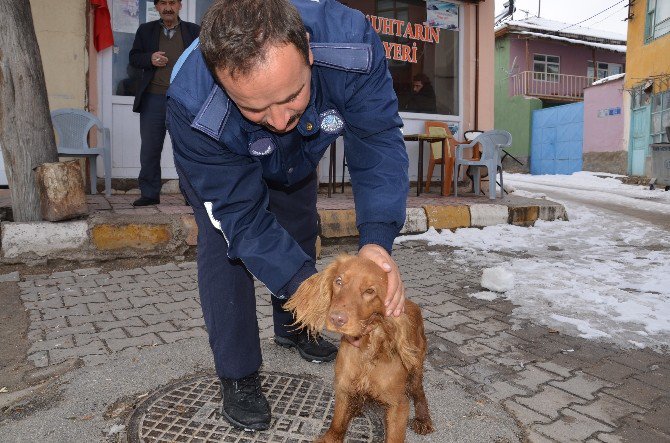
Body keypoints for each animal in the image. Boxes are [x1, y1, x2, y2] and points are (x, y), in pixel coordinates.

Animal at [284, 255, 436, 442]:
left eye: (370, 291)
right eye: (338, 281)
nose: (337, 319)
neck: (367, 348)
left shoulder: (398, 404)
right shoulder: (342, 387)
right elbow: (337, 425)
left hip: (415, 366)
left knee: (419, 392)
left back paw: (423, 419)